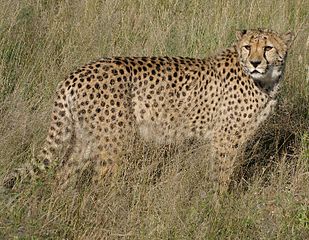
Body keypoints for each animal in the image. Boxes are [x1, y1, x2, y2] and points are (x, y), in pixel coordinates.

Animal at [5, 29, 294, 192]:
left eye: (268, 47)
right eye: (248, 46)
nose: (255, 63)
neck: (266, 81)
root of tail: (76, 73)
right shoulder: (225, 138)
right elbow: (220, 177)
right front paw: (217, 208)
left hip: (88, 137)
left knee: (64, 171)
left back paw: (61, 205)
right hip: (113, 140)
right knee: (99, 182)